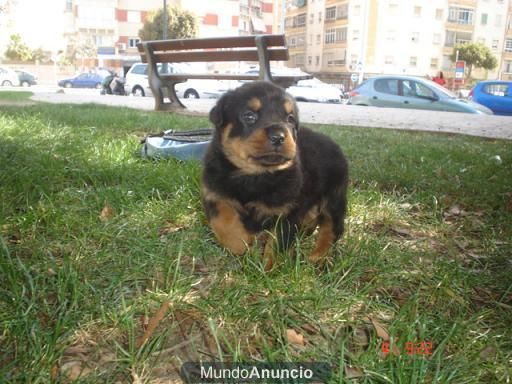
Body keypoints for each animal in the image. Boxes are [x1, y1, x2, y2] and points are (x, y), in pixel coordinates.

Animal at [201, 82, 348, 266]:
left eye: (290, 119)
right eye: (249, 116)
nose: (278, 136)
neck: (255, 175)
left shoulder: (287, 212)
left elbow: (278, 244)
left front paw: (269, 268)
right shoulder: (214, 192)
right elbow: (223, 221)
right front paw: (240, 243)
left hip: (334, 195)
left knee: (333, 227)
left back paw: (318, 256)